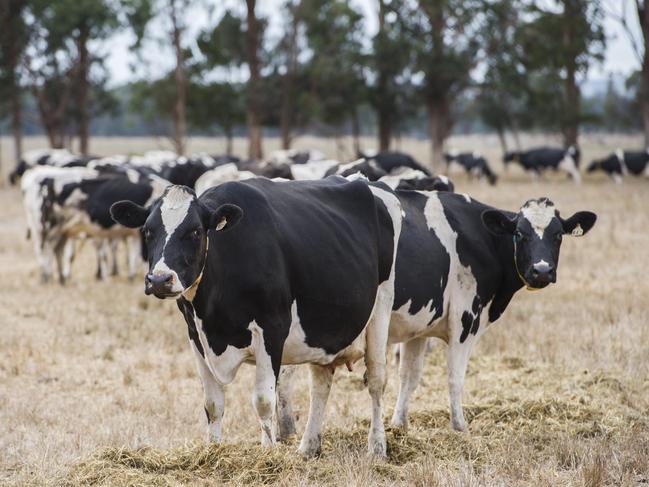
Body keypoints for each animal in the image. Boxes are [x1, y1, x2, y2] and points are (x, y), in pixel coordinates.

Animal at [111, 178, 400, 458]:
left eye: (195, 231)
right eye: (148, 231)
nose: (159, 280)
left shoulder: (272, 329)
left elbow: (263, 401)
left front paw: (268, 455)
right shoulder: (196, 335)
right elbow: (213, 404)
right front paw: (212, 451)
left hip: (381, 311)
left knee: (377, 381)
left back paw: (377, 448)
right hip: (324, 332)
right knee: (320, 384)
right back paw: (309, 448)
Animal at [276, 194, 596, 438]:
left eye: (558, 235)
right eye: (520, 233)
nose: (541, 271)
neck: (480, 237)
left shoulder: (417, 326)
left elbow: (410, 376)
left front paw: (399, 425)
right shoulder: (465, 320)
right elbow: (455, 377)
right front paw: (460, 428)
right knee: (283, 379)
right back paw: (285, 433)